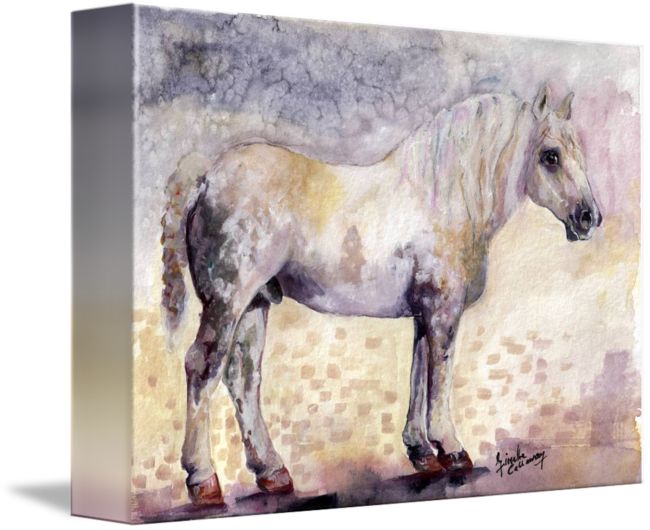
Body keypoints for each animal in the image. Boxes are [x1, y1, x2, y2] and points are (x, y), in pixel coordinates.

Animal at [160, 83, 602, 506]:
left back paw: (272, 473)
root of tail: (207, 176)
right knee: (202, 368)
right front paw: (452, 449)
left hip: (255, 304)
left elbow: (418, 373)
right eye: (550, 156)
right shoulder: (442, 310)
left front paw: (422, 452)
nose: (590, 217)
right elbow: (440, 375)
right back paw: (203, 480)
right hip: (227, 302)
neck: (443, 197)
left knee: (243, 378)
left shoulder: (424, 313)